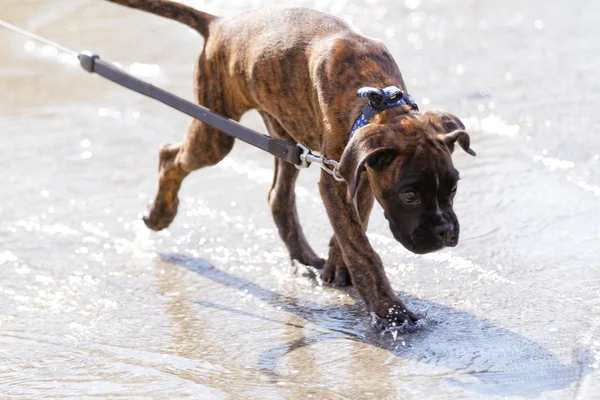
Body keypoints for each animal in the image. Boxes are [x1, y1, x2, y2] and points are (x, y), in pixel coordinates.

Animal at [105, 0, 476, 324]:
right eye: (409, 195)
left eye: (453, 189)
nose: (444, 231)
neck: (379, 100)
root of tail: (219, 24)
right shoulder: (339, 178)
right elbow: (361, 247)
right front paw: (389, 311)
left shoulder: (361, 175)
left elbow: (353, 228)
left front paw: (338, 268)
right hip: (216, 132)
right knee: (170, 157)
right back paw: (159, 214)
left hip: (284, 137)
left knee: (278, 197)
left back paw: (303, 258)